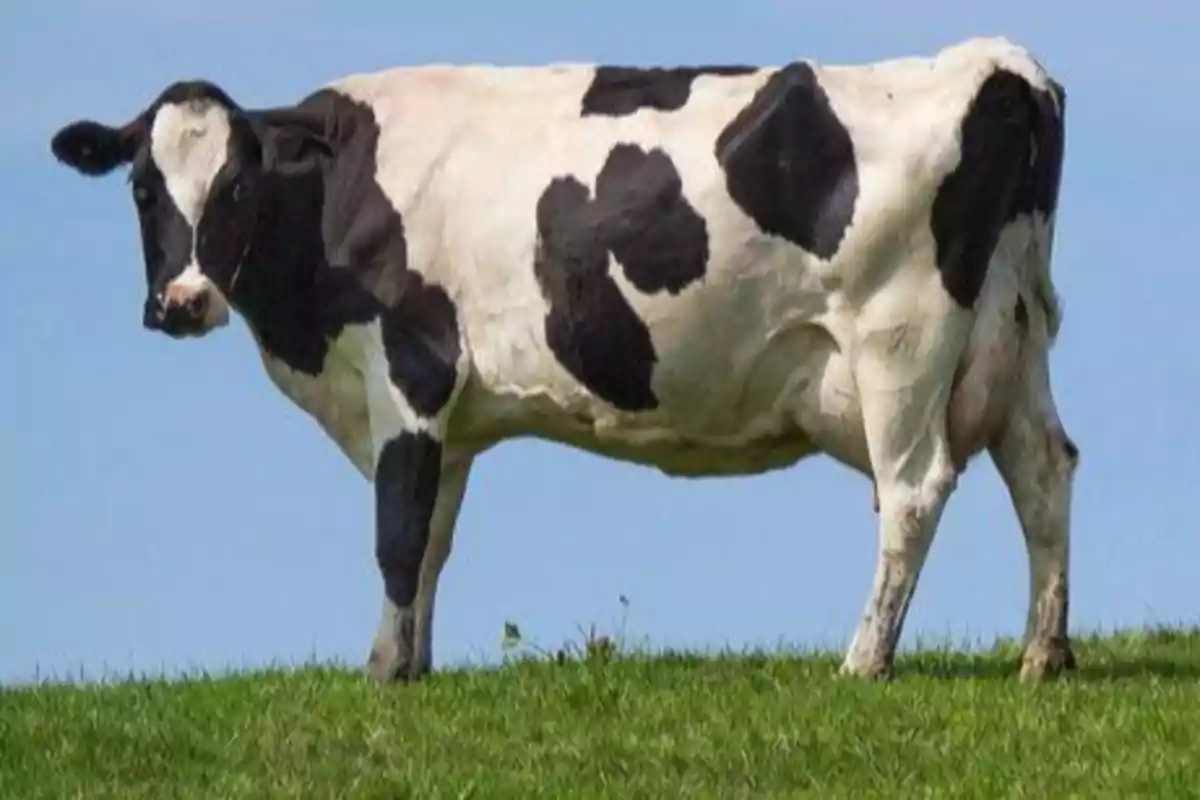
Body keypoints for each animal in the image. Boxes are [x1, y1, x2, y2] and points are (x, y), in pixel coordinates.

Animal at [49, 32, 1080, 681]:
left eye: (234, 186)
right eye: (143, 187)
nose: (183, 303)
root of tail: (998, 65)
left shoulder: (411, 370)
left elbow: (395, 533)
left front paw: (383, 674)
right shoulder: (448, 420)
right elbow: (432, 537)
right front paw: (413, 661)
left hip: (897, 340)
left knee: (912, 492)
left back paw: (864, 660)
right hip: (1015, 334)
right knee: (1044, 470)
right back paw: (1043, 655)